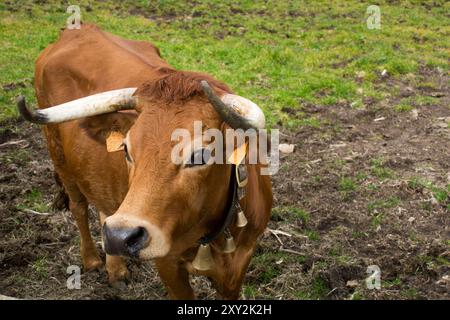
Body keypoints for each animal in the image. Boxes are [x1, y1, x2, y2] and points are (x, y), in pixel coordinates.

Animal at [17, 23, 272, 300]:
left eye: (200, 155)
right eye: (127, 150)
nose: (119, 236)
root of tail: (79, 29)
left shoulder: (241, 260)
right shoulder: (168, 264)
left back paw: (116, 268)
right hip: (58, 154)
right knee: (78, 206)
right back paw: (93, 259)